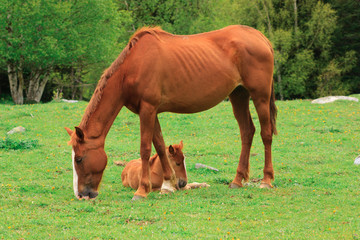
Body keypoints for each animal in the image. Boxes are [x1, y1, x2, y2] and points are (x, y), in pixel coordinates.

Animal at [65, 24, 278, 201]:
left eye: (79, 158)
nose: (81, 194)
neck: (133, 67)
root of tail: (260, 37)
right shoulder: (151, 111)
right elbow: (159, 145)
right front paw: (168, 184)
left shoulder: (148, 109)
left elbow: (145, 148)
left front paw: (141, 191)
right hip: (238, 95)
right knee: (247, 132)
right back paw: (237, 181)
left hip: (260, 96)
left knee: (265, 134)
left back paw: (266, 181)